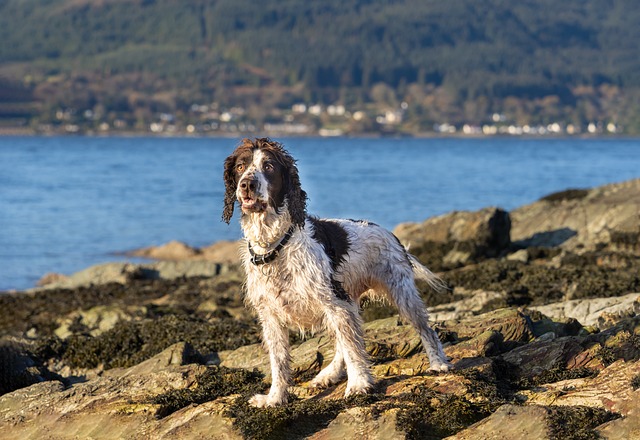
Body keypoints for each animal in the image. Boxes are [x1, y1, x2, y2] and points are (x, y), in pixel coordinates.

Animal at [222, 137, 452, 406]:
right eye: (240, 166)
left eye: (268, 166)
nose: (247, 184)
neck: (276, 245)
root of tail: (390, 233)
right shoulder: (271, 316)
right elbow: (278, 362)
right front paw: (274, 398)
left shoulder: (334, 301)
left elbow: (353, 348)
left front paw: (358, 384)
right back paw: (328, 374)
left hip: (400, 294)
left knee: (426, 329)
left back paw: (438, 363)